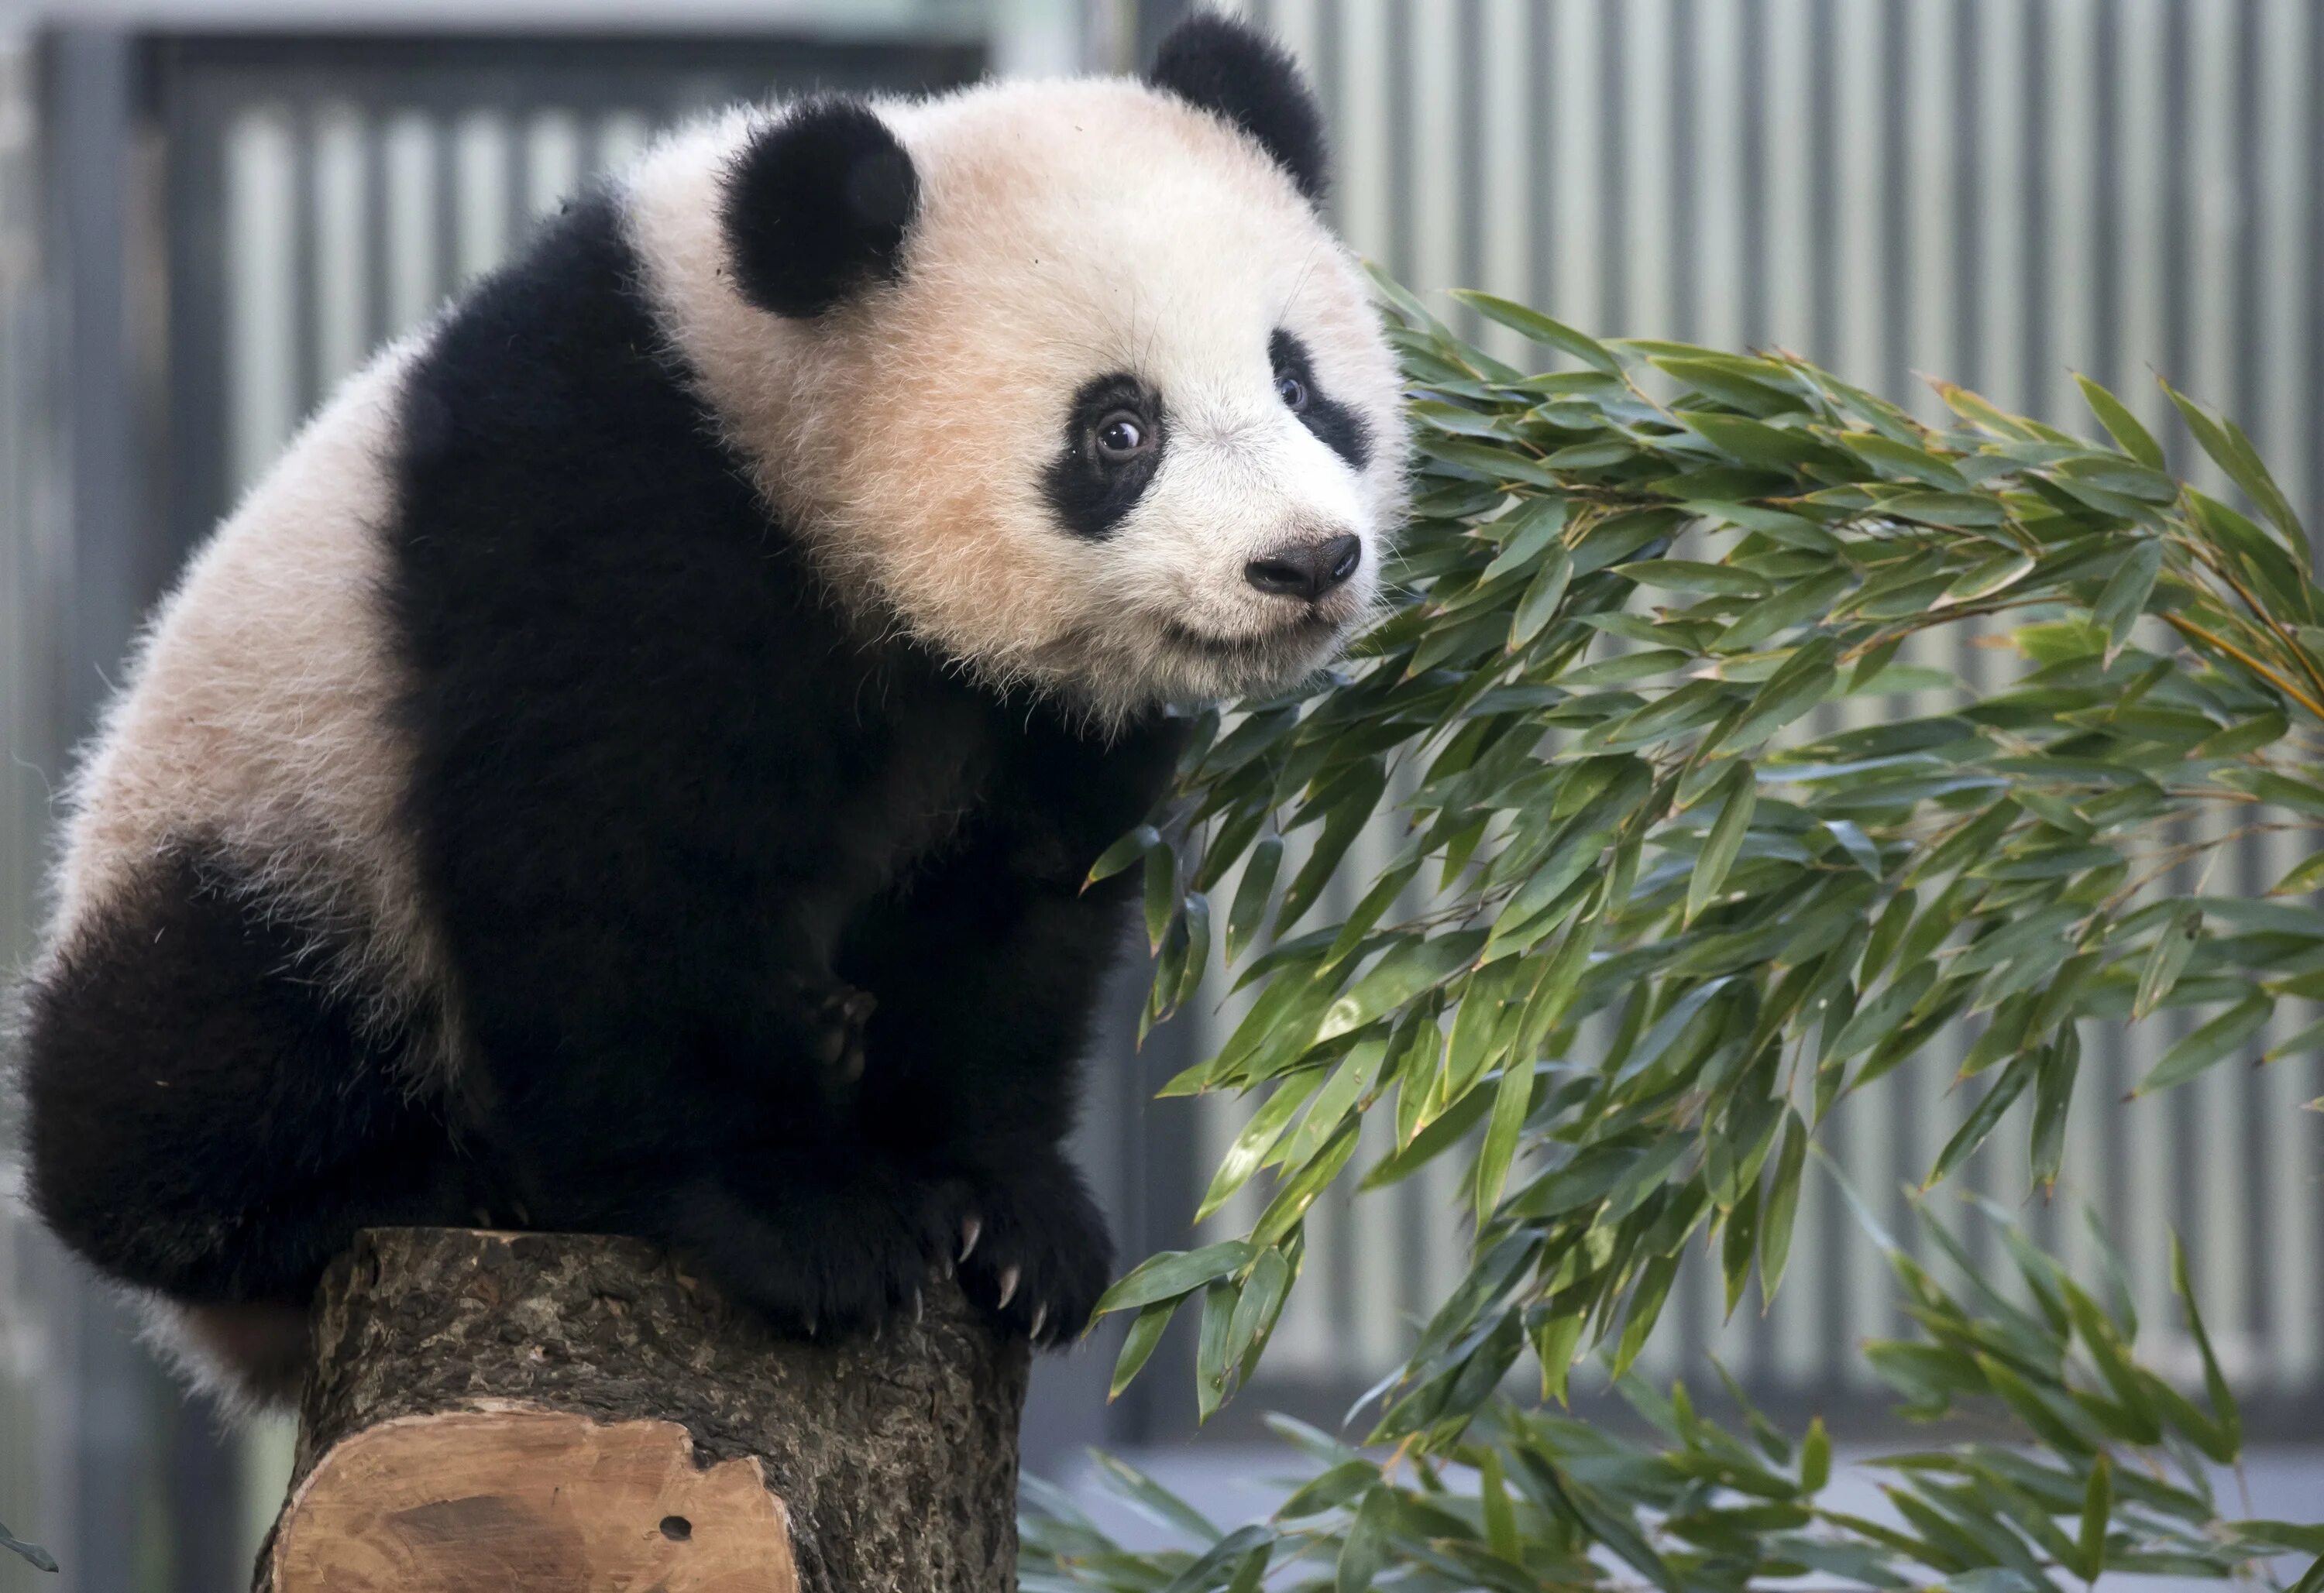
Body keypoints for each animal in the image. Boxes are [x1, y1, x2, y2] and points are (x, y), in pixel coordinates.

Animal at [13, 12, 1394, 1412]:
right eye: (1119, 429)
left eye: (1297, 383)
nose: (1305, 561)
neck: (782, 423)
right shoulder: (612, 509)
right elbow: (615, 870)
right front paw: (809, 1221)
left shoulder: (1033, 719)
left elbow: (1011, 916)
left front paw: (1009, 1221)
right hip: (275, 805)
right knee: (203, 1050)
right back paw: (431, 1179)